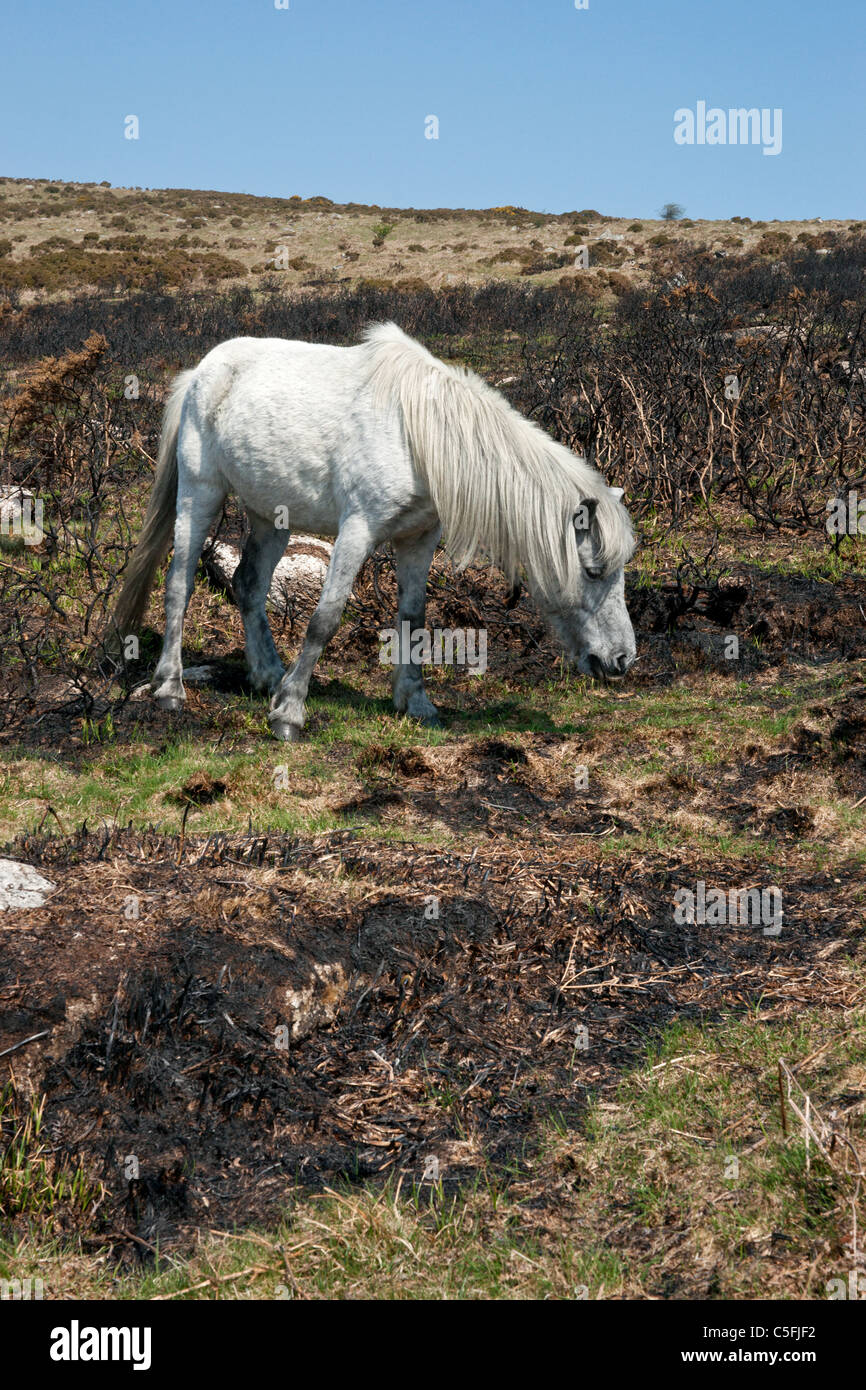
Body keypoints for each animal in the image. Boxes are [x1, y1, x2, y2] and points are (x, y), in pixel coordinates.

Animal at [109, 322, 637, 741]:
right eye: (592, 571)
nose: (622, 661)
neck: (419, 436)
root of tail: (199, 373)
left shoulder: (418, 540)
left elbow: (414, 619)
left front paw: (416, 703)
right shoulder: (358, 530)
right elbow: (324, 619)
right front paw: (289, 714)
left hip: (269, 516)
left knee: (248, 585)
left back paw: (267, 675)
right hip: (200, 493)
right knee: (179, 582)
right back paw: (171, 688)